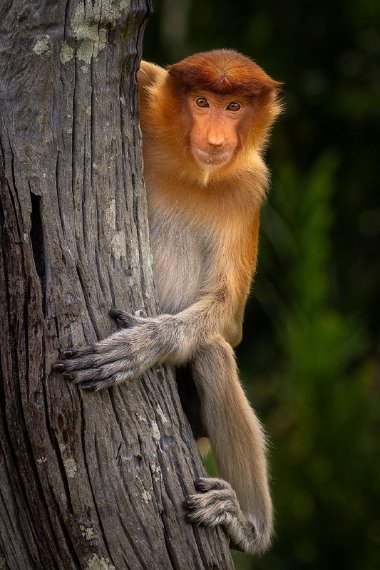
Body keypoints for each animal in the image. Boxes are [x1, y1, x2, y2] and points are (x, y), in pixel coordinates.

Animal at [56, 50, 282, 556]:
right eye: (201, 102)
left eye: (234, 107)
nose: (215, 139)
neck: (191, 171)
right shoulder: (148, 88)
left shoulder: (250, 186)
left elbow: (230, 320)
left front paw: (141, 345)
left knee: (213, 354)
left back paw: (247, 527)